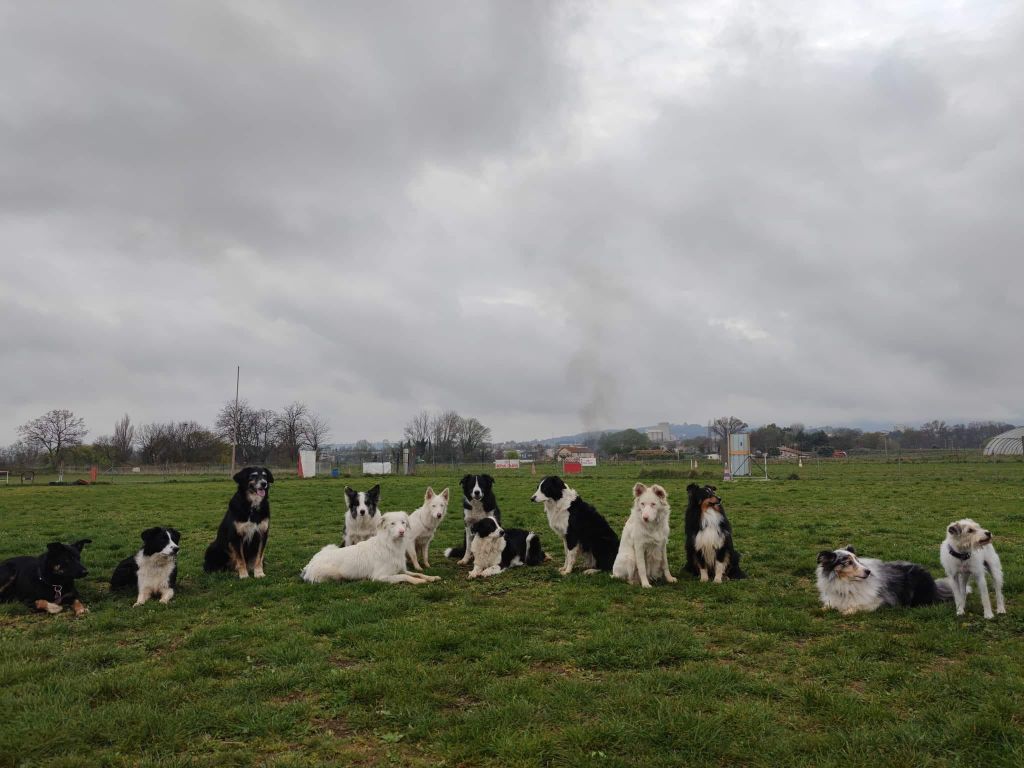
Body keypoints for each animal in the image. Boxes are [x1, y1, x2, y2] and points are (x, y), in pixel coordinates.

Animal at [299, 514, 438, 585]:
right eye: (392, 523)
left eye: (403, 522)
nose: (402, 532)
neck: (389, 545)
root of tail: (309, 564)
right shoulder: (380, 577)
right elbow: (405, 577)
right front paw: (418, 581)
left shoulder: (400, 569)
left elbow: (416, 573)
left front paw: (431, 577)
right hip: (334, 572)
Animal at [815, 548, 950, 618]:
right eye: (848, 562)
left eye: (857, 560)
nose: (868, 571)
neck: (847, 584)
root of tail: (936, 586)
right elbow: (826, 606)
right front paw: (821, 609)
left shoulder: (880, 601)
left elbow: (857, 607)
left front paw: (846, 611)